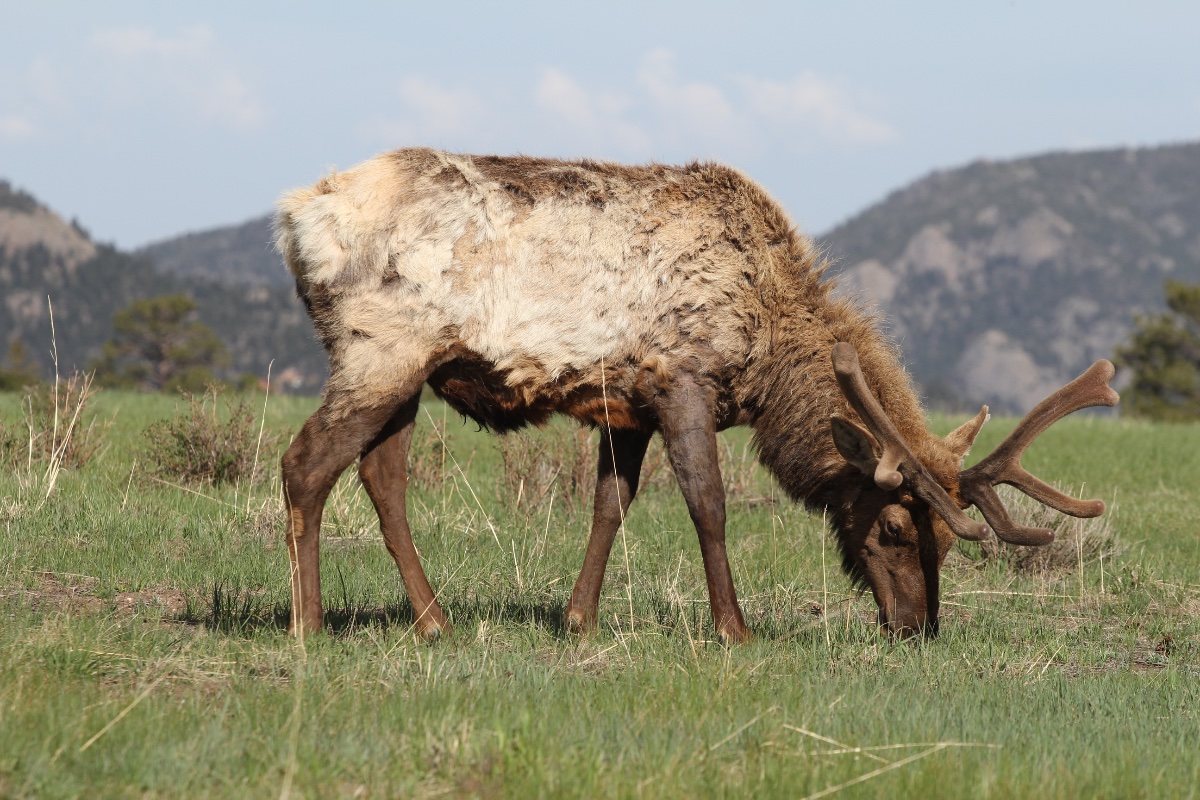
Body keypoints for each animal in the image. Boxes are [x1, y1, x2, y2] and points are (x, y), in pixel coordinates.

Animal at [275, 148, 1118, 642]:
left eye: (944, 539)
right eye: (892, 530)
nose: (916, 628)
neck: (768, 348)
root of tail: (296, 216)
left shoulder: (624, 402)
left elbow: (609, 506)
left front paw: (578, 620)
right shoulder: (682, 378)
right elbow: (707, 505)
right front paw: (733, 628)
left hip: (410, 371)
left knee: (381, 476)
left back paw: (434, 621)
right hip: (380, 349)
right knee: (306, 464)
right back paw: (308, 625)